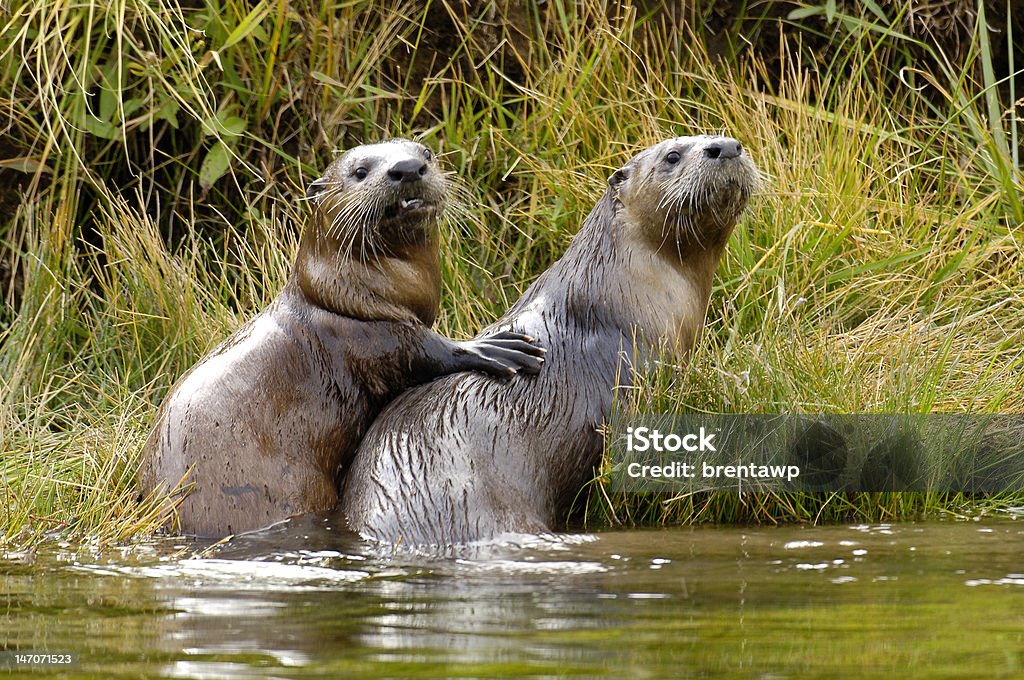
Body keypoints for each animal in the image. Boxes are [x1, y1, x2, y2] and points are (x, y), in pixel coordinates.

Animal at [142, 140, 552, 540]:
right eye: (359, 171)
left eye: (426, 153)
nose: (407, 168)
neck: (343, 296)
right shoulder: (367, 336)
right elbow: (425, 352)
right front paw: (492, 348)